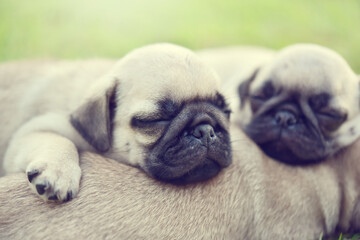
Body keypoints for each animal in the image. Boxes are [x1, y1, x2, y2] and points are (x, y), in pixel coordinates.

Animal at [0, 43, 232, 202]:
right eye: (156, 120)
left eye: (226, 111)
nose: (205, 130)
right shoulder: (35, 130)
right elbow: (61, 142)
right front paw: (59, 172)